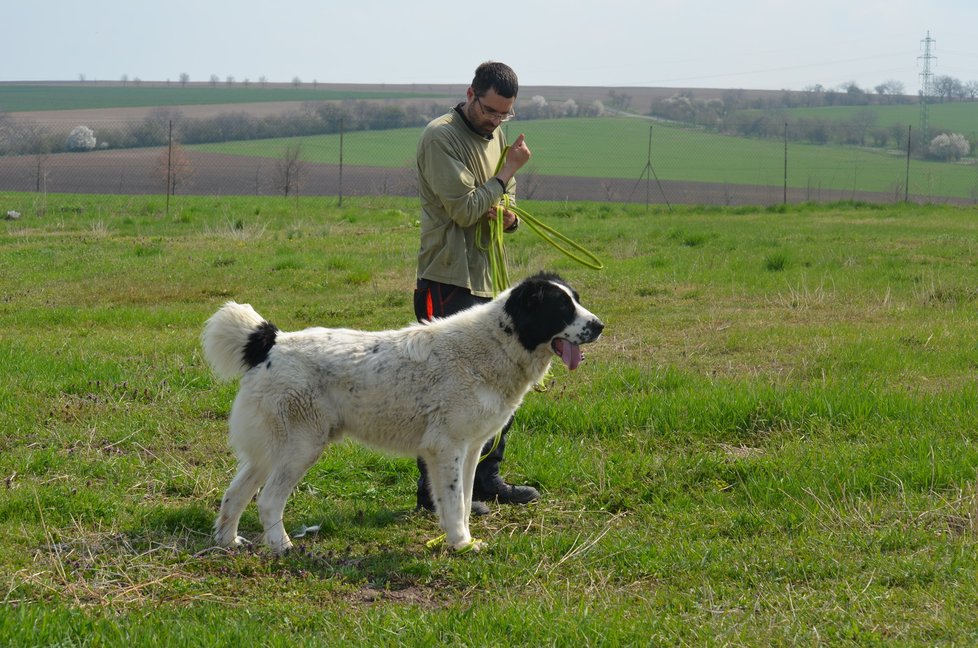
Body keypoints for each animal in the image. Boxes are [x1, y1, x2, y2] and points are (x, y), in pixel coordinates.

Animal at [201, 272, 604, 552]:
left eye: (577, 301)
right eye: (561, 308)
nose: (599, 325)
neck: (497, 343)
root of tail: (272, 342)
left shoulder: (470, 449)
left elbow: (463, 498)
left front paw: (462, 539)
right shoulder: (447, 448)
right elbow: (454, 502)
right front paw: (460, 544)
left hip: (270, 450)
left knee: (234, 494)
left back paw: (228, 541)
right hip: (302, 448)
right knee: (268, 500)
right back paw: (283, 547)